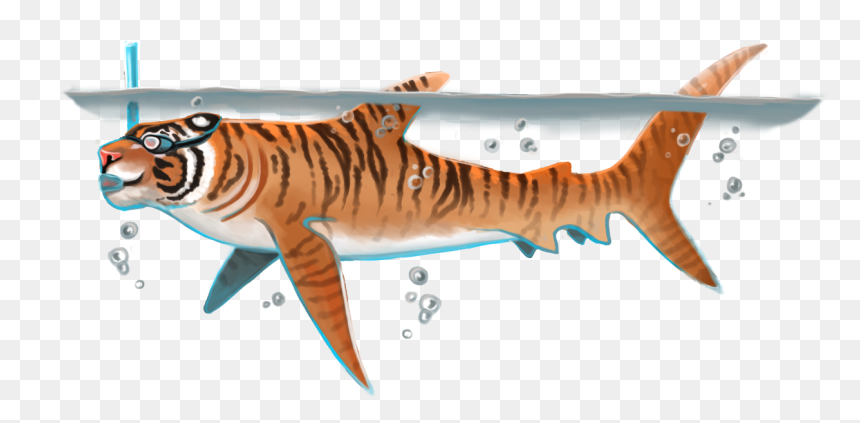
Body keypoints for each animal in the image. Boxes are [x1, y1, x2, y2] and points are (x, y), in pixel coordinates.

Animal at [98, 44, 767, 393]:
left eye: (156, 141)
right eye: (134, 130)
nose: (105, 154)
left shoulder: (298, 237)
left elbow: (330, 317)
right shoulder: (259, 243)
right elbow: (235, 270)